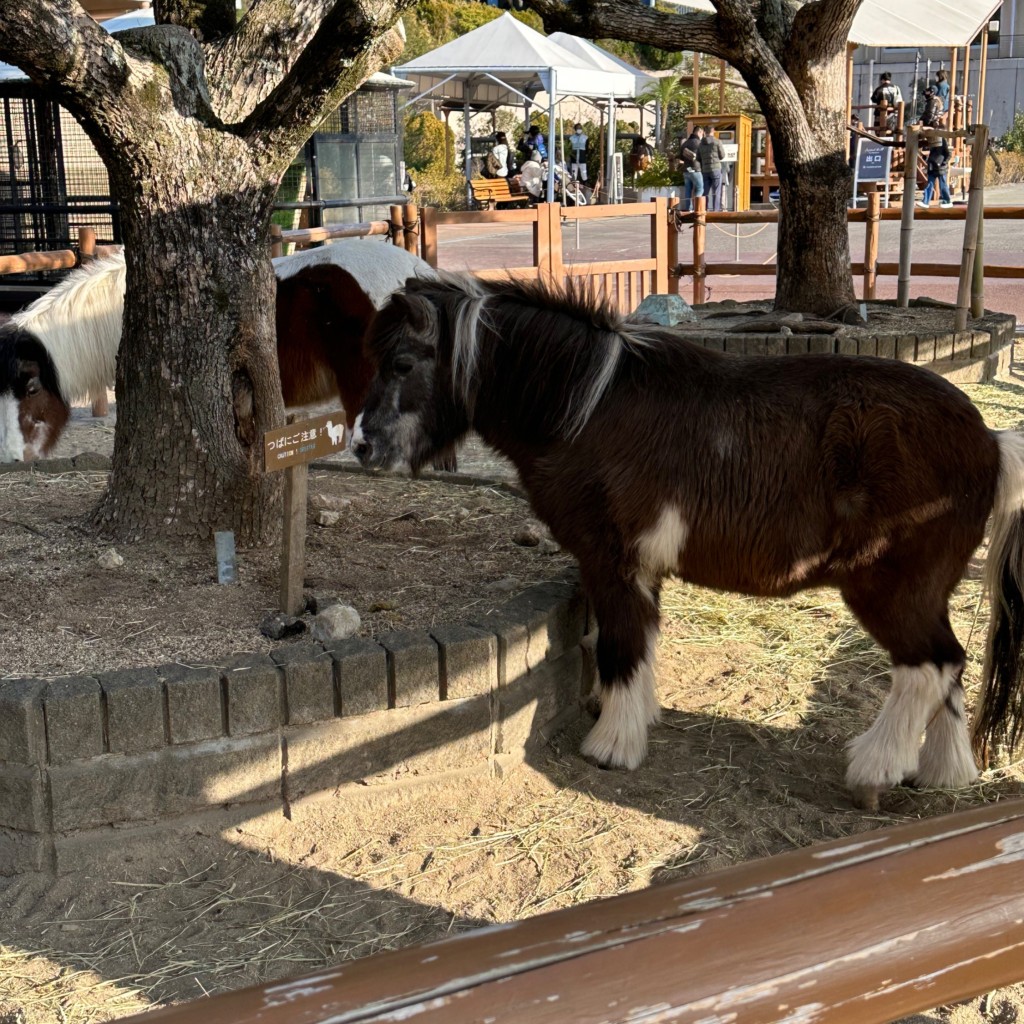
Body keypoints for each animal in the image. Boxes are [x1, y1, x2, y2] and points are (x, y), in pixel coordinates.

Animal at [350, 276, 1024, 811]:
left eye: (403, 363)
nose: (362, 447)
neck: (589, 410)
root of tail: (989, 442)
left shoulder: (610, 561)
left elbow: (620, 647)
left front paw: (611, 749)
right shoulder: (637, 570)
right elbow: (640, 643)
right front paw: (635, 721)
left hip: (888, 586)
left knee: (928, 665)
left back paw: (874, 770)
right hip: (926, 590)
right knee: (950, 668)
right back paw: (944, 775)